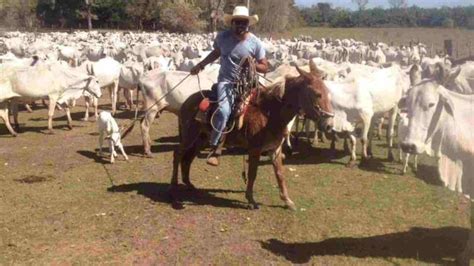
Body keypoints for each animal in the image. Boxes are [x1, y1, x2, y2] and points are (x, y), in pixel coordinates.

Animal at [169, 59, 334, 210]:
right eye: (317, 94)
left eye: (327, 93)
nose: (329, 125)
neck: (270, 112)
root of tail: (187, 101)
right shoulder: (255, 149)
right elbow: (253, 173)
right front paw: (251, 200)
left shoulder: (275, 149)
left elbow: (280, 174)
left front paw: (287, 201)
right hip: (190, 136)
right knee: (178, 154)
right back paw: (174, 185)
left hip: (201, 139)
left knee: (188, 158)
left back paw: (189, 184)